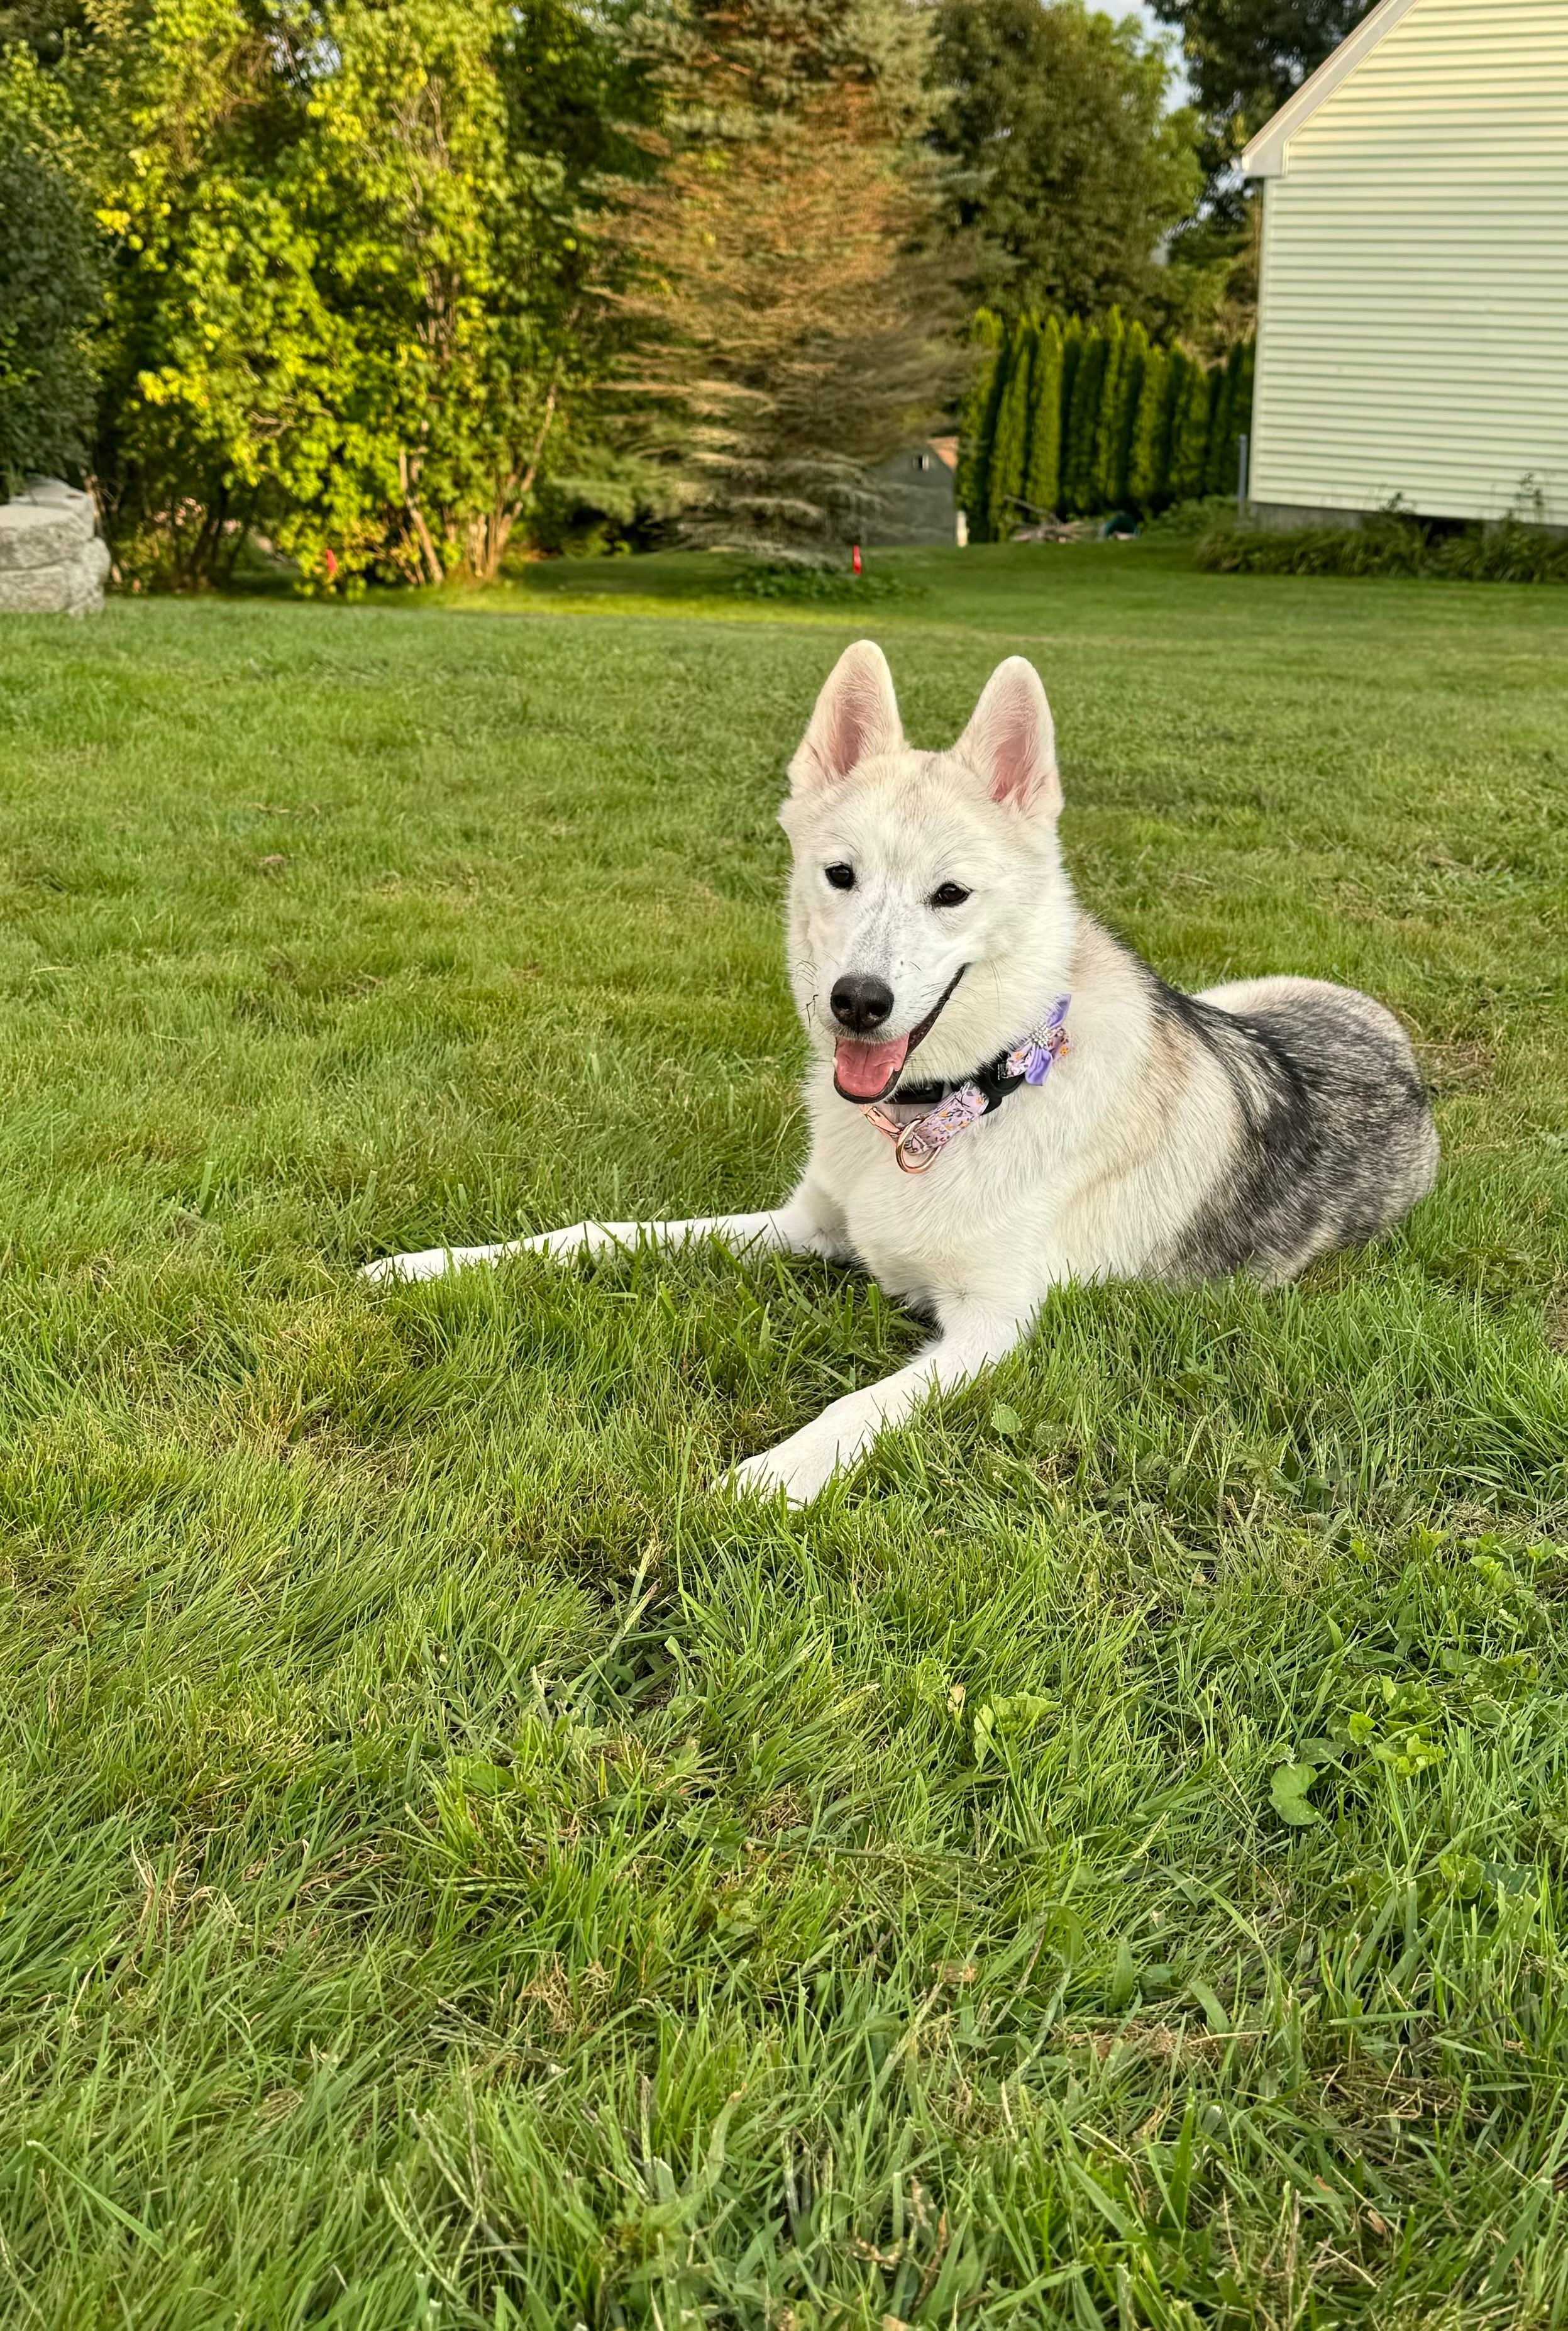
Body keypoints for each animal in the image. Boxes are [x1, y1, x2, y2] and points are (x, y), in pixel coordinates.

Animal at [361, 648, 1435, 1501]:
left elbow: (861, 1403)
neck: (949, 1107)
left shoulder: (988, 1329)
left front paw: (771, 1476)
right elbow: (596, 1233)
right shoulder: (802, 1226)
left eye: (949, 894)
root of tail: (1392, 1037)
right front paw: (440, 1263)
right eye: (839, 875)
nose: (857, 1002)